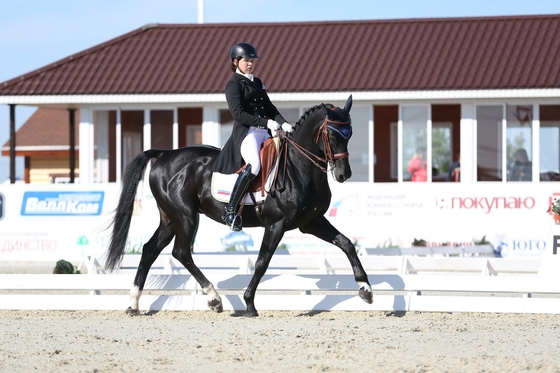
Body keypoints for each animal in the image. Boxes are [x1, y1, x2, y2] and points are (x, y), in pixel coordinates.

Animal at [107, 94, 374, 316]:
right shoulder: (277, 224)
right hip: (185, 217)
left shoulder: (311, 222)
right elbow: (262, 262)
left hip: (170, 219)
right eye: (332, 135)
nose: (343, 174)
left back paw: (133, 304)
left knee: (150, 250)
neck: (298, 167)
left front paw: (366, 289)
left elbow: (346, 243)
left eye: (349, 134)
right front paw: (249, 304)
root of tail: (164, 154)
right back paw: (214, 299)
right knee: (181, 252)